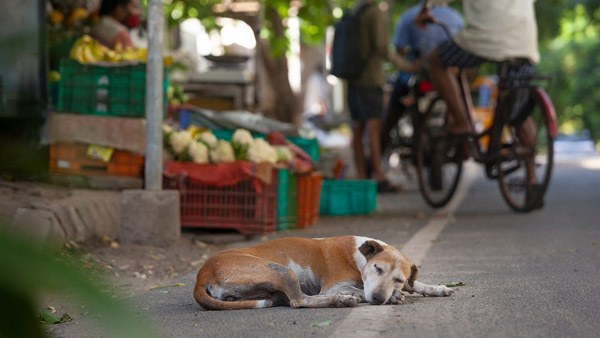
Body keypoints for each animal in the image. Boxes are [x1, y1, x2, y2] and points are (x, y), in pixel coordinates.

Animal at [195, 236, 452, 310]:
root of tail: (202, 274)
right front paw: (395, 296)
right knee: (300, 301)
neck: (357, 256)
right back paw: (342, 300)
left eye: (398, 278)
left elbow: (415, 283)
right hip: (283, 271)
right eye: (377, 268)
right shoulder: (335, 285)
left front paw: (436, 288)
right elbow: (357, 288)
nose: (379, 299)